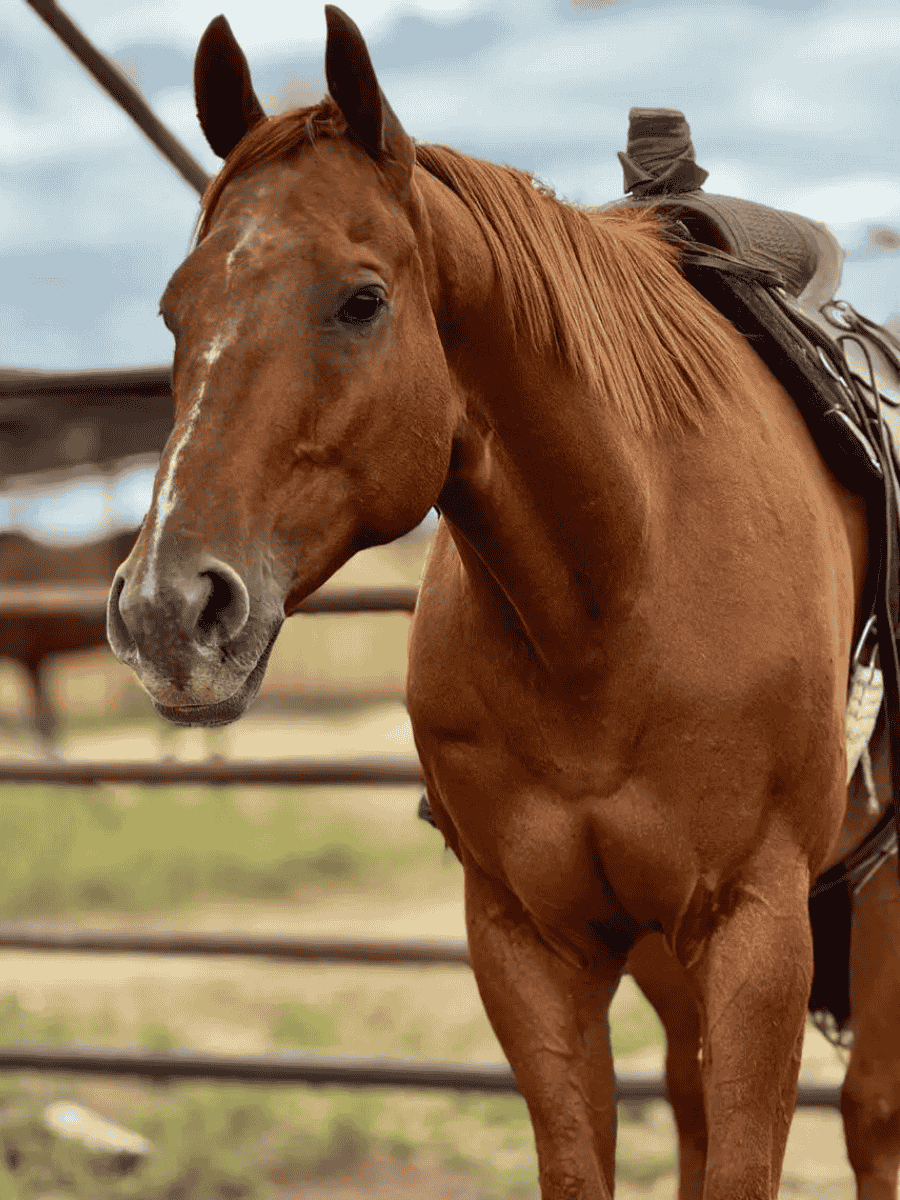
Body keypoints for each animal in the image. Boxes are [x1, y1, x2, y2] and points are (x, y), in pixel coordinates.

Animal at [105, 8, 899, 1196]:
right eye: (174, 311)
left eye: (363, 300)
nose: (167, 609)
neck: (619, 592)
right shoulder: (530, 943)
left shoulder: (757, 930)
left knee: (871, 1115)